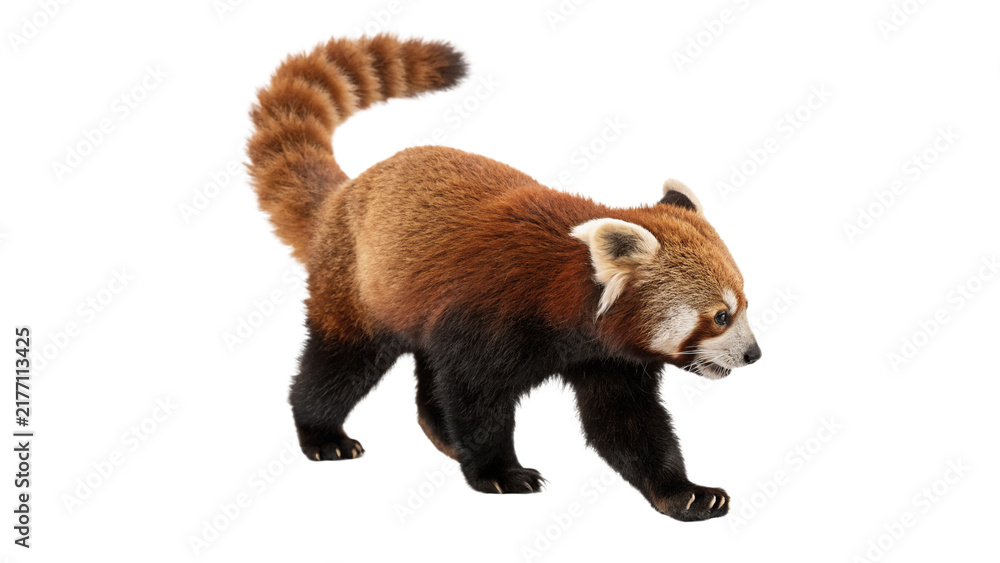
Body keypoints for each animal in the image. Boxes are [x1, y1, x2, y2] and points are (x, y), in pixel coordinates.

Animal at [247, 34, 761, 522]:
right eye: (721, 316)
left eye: (745, 306)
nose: (754, 355)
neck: (567, 295)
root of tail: (344, 194)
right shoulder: (489, 313)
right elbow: (475, 398)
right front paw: (500, 472)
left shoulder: (607, 358)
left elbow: (628, 425)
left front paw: (684, 493)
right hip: (357, 286)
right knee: (341, 363)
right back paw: (323, 435)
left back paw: (442, 438)